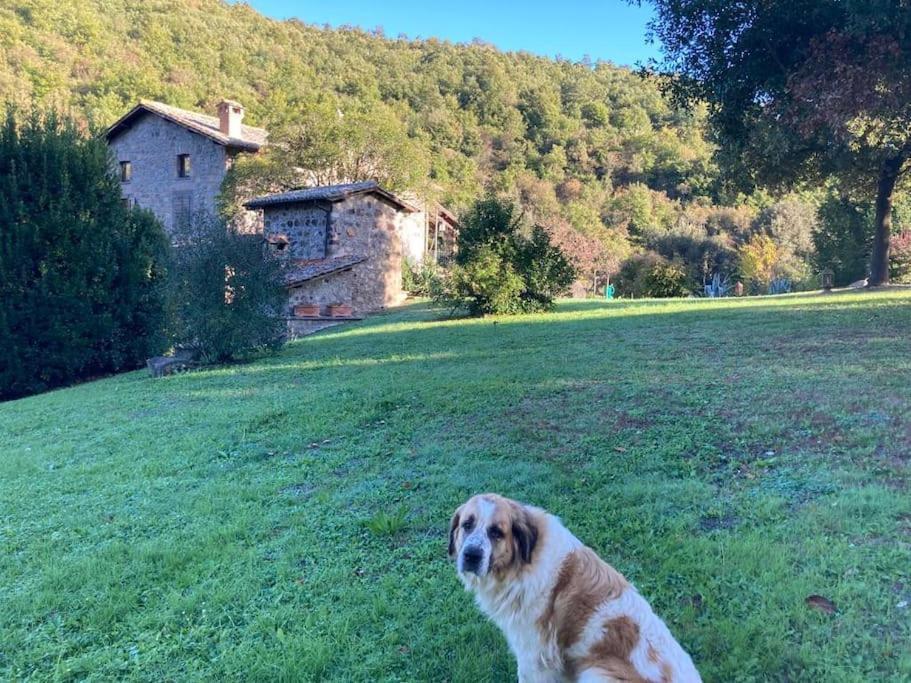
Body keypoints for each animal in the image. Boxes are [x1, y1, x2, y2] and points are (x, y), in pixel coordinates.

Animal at [448, 494, 700, 683]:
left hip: (596, 672)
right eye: (467, 525)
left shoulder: (534, 655)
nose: (471, 555)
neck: (522, 564)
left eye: (496, 533)